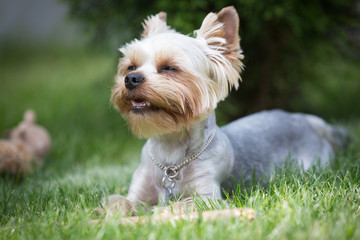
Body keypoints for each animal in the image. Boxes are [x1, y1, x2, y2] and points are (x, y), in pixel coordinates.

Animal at [107, 6, 348, 215]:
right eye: (130, 66)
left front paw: (157, 211)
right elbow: (121, 203)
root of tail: (306, 120)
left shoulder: (207, 196)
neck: (171, 154)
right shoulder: (138, 190)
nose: (131, 78)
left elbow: (181, 205)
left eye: (169, 68)